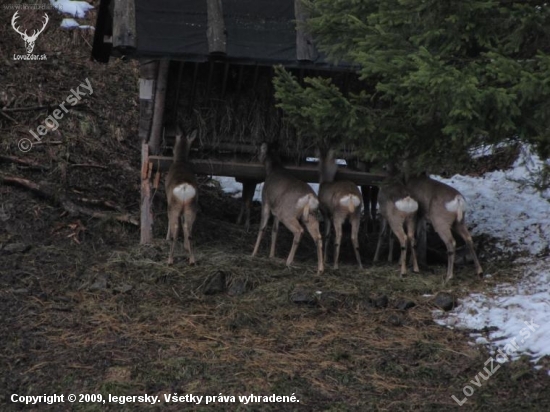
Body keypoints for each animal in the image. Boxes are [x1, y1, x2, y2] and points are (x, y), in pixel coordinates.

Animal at [253, 143, 326, 276]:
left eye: (260, 151)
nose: (256, 156)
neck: (273, 169)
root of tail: (309, 198)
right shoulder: (276, 212)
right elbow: (275, 230)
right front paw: (271, 255)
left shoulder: (266, 201)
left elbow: (262, 227)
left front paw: (253, 253)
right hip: (311, 216)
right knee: (318, 237)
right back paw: (320, 269)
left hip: (287, 214)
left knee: (299, 231)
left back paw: (288, 262)